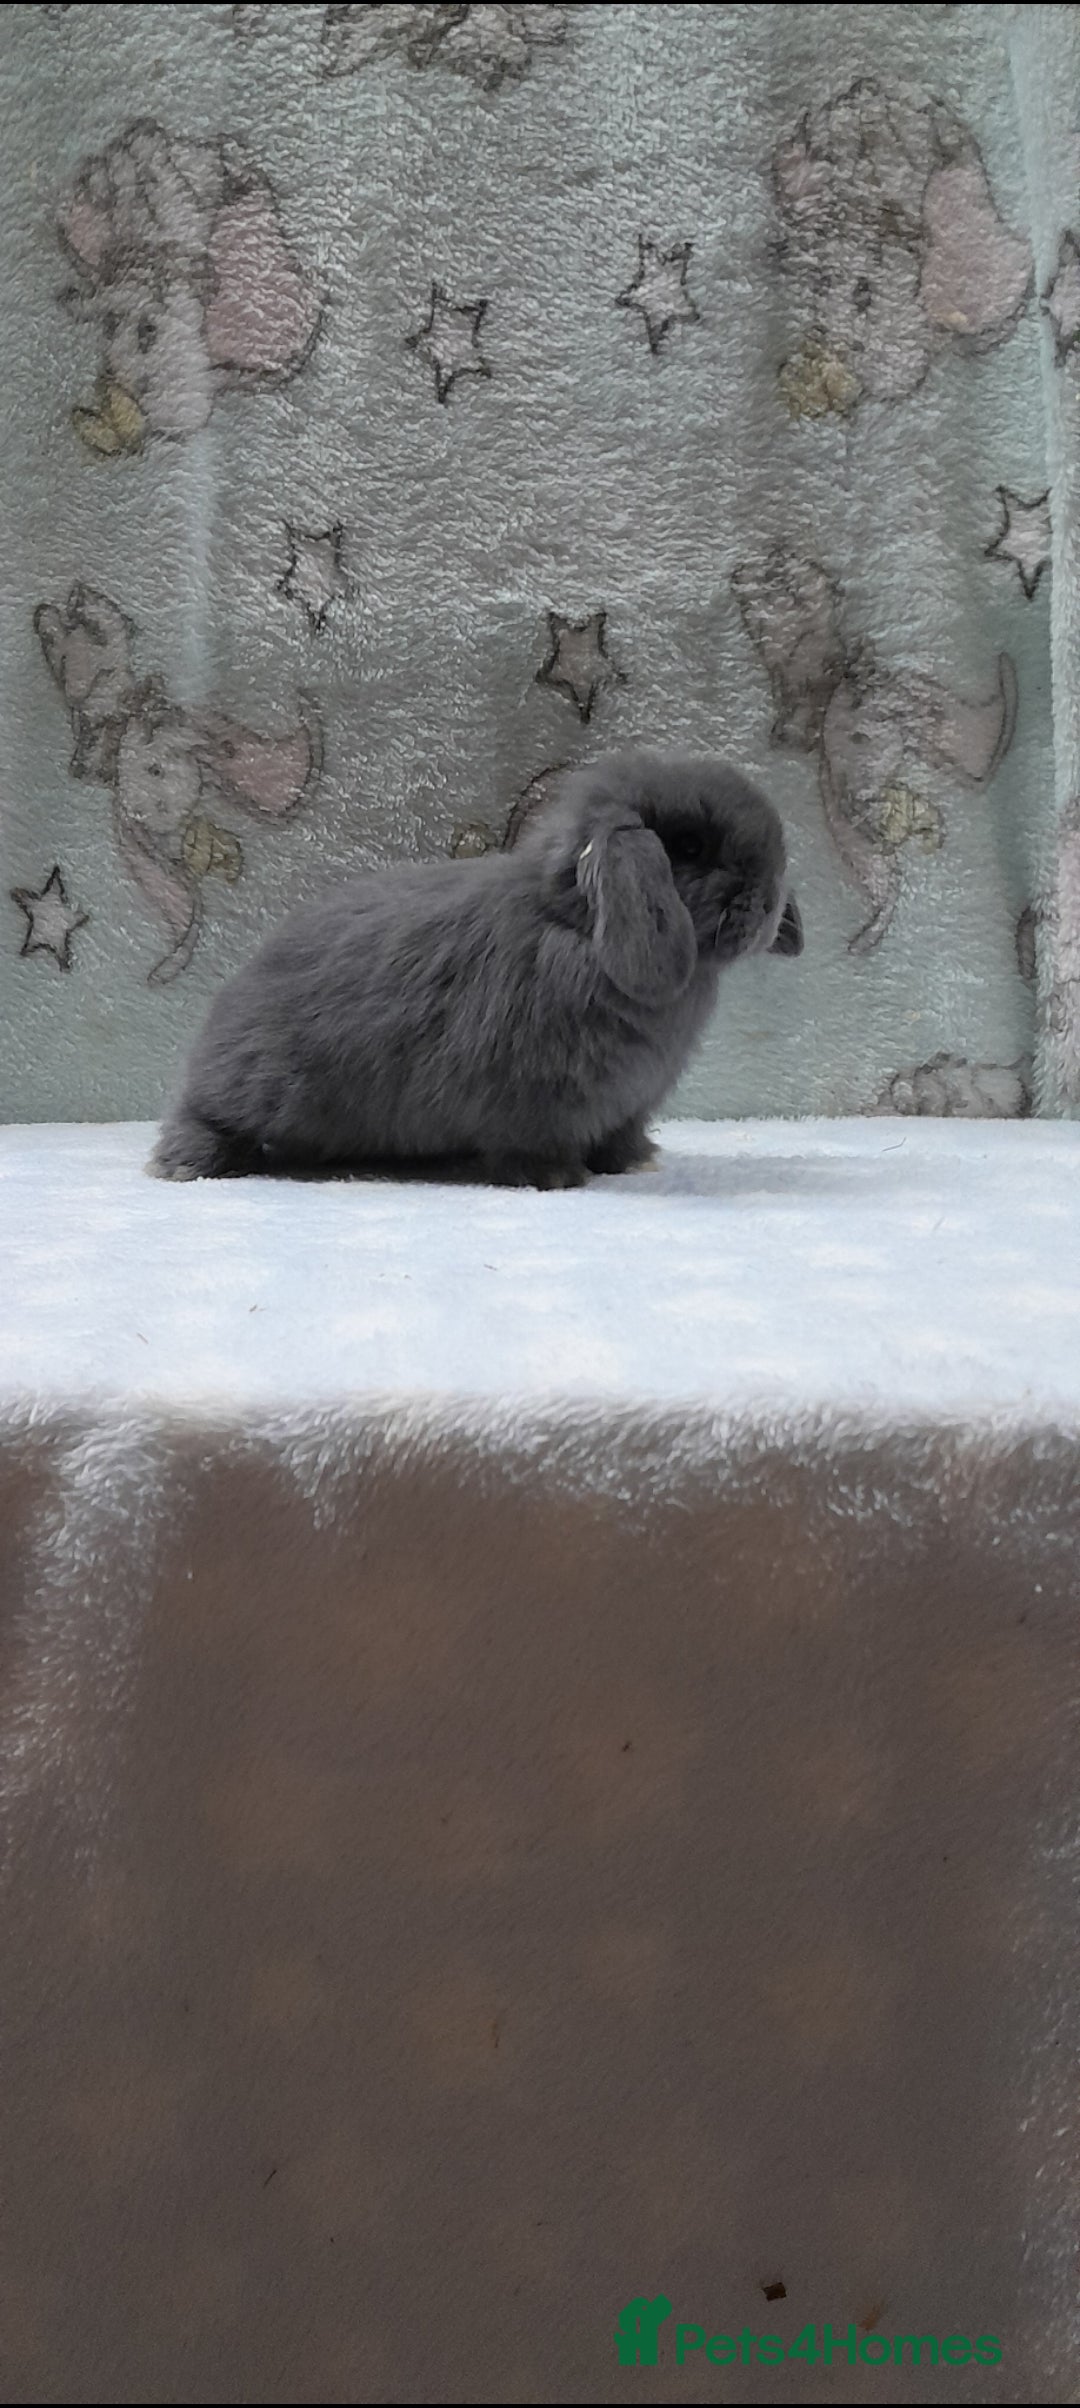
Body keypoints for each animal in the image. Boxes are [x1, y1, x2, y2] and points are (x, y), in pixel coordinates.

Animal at [149, 748, 803, 1189]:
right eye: (689, 847)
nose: (771, 903)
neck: (577, 928)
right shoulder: (535, 1100)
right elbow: (532, 1146)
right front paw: (558, 1178)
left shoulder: (629, 1104)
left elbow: (621, 1137)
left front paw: (635, 1161)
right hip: (246, 1089)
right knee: (201, 1118)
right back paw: (184, 1165)